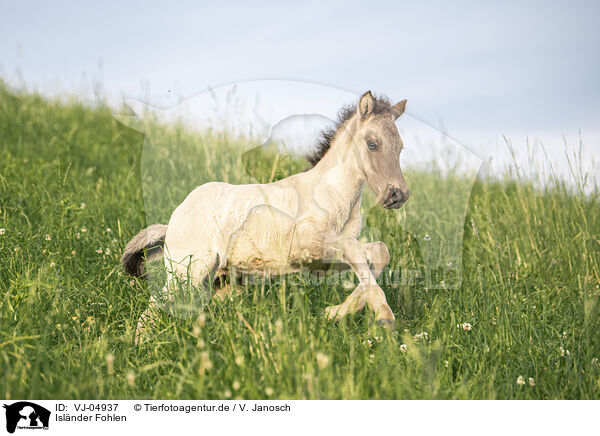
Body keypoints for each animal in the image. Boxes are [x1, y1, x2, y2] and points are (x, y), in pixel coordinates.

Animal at [121, 91, 408, 338]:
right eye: (372, 144)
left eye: (401, 147)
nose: (398, 195)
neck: (330, 195)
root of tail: (172, 221)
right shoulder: (304, 246)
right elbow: (355, 249)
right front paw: (383, 315)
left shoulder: (322, 264)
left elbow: (378, 252)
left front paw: (335, 312)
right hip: (185, 271)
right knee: (153, 307)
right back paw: (138, 344)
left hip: (218, 279)